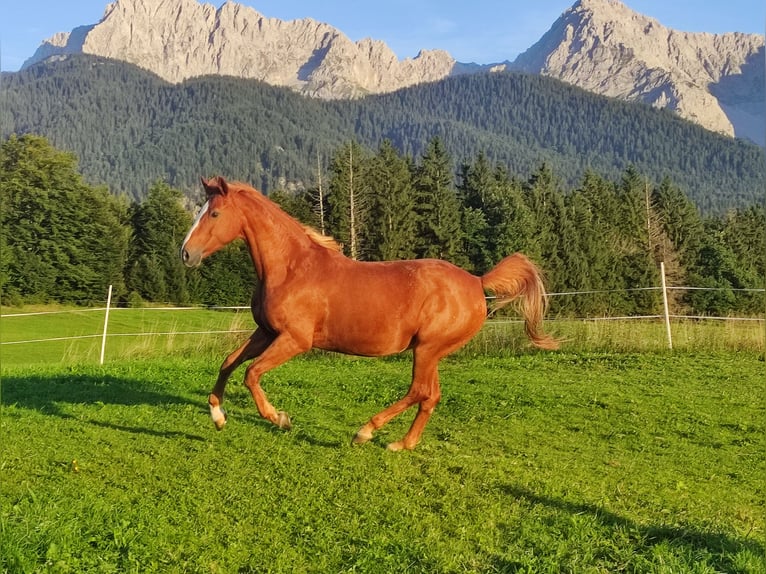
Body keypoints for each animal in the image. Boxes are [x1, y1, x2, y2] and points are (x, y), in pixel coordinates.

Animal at [183, 178, 560, 452]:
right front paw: (217, 416)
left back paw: (365, 432)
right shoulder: (265, 332)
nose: (186, 254)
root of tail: (477, 282)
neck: (291, 268)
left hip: (427, 349)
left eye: (214, 214)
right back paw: (403, 444)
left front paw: (279, 418)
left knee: (419, 391)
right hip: (432, 352)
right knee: (431, 396)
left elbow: (251, 374)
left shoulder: (295, 340)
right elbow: (229, 363)